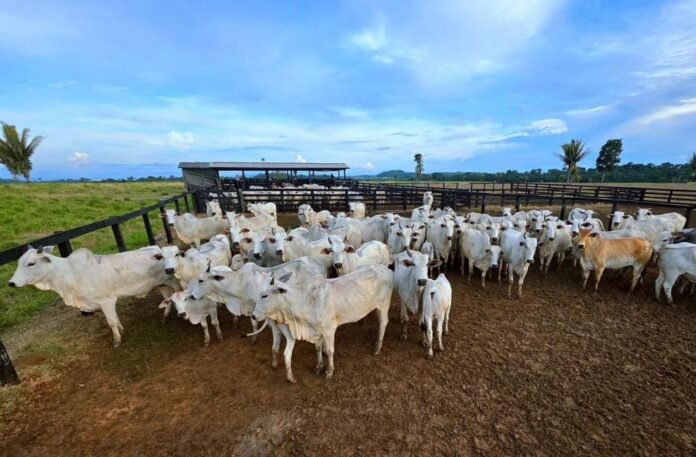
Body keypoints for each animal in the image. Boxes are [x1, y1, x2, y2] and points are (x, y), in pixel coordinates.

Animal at [8, 246, 180, 346]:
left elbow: (111, 321)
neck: (71, 274)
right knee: (167, 298)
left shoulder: (107, 301)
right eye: (18, 262)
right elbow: (116, 320)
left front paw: (117, 340)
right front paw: (121, 330)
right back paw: (165, 317)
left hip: (173, 281)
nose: (11, 283)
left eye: (31, 263)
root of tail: (158, 249)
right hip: (161, 285)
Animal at [251, 264, 393, 382]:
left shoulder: (329, 330)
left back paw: (377, 348)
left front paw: (329, 371)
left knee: (383, 322)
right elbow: (318, 348)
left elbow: (329, 351)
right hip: (377, 307)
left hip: (384, 304)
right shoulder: (316, 330)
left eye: (264, 295)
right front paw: (318, 366)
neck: (304, 300)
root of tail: (385, 269)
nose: (253, 315)